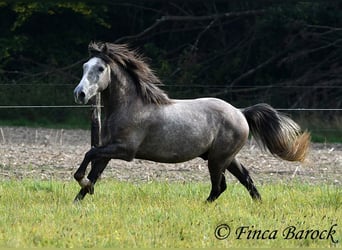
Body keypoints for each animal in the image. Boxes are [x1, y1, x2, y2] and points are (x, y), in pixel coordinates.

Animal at [73, 42, 312, 203]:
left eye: (100, 69)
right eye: (85, 67)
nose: (80, 94)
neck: (130, 106)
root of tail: (241, 112)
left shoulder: (125, 150)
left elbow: (89, 155)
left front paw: (82, 183)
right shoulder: (109, 149)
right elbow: (94, 171)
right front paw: (80, 198)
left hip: (217, 159)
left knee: (220, 186)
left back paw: (204, 206)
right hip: (225, 157)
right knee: (245, 179)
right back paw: (258, 204)